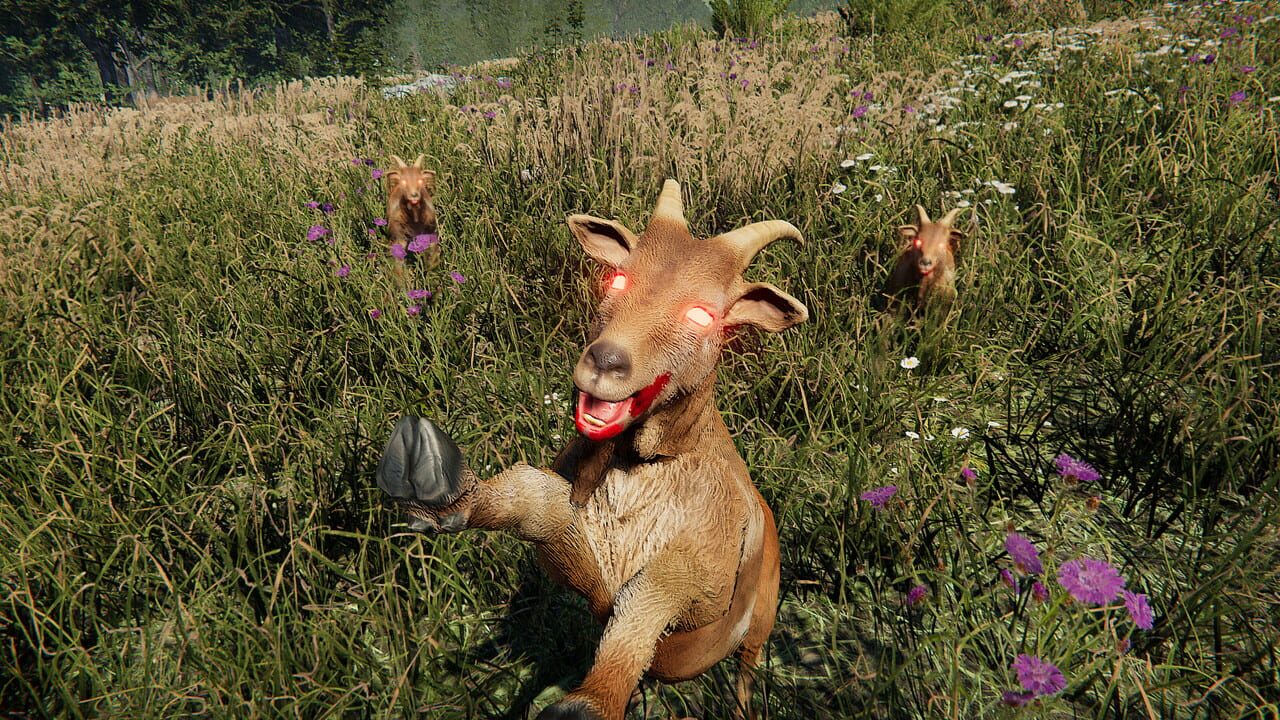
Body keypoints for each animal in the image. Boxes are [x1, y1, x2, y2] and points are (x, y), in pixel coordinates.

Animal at [376, 179, 808, 720]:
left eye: (703, 314)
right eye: (617, 280)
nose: (605, 361)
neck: (638, 470)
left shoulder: (704, 577)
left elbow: (650, 597)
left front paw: (589, 703)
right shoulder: (585, 570)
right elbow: (536, 503)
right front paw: (442, 492)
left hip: (762, 617)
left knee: (748, 668)